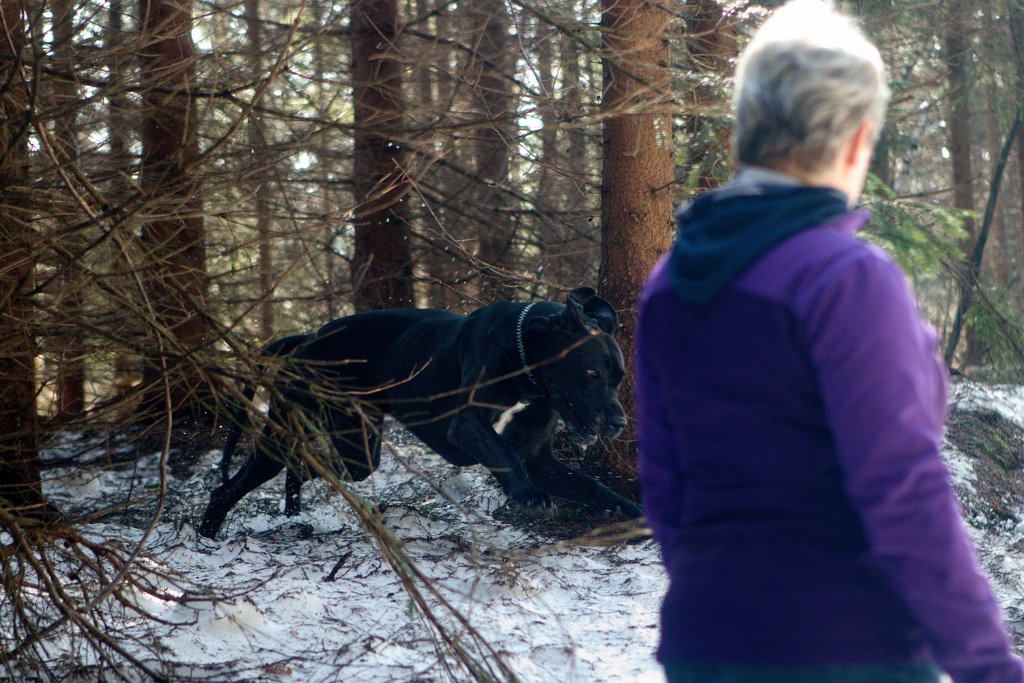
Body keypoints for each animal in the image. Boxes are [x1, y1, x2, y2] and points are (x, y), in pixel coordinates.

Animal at [198, 286, 638, 536]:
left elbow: (589, 485)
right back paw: (207, 534)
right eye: (592, 372)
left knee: (306, 465)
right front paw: (529, 495)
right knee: (234, 485)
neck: (526, 357)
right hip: (293, 436)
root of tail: (306, 339)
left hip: (359, 449)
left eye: (619, 377)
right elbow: (505, 457)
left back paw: (292, 516)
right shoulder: (468, 425)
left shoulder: (540, 459)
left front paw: (631, 510)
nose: (619, 422)